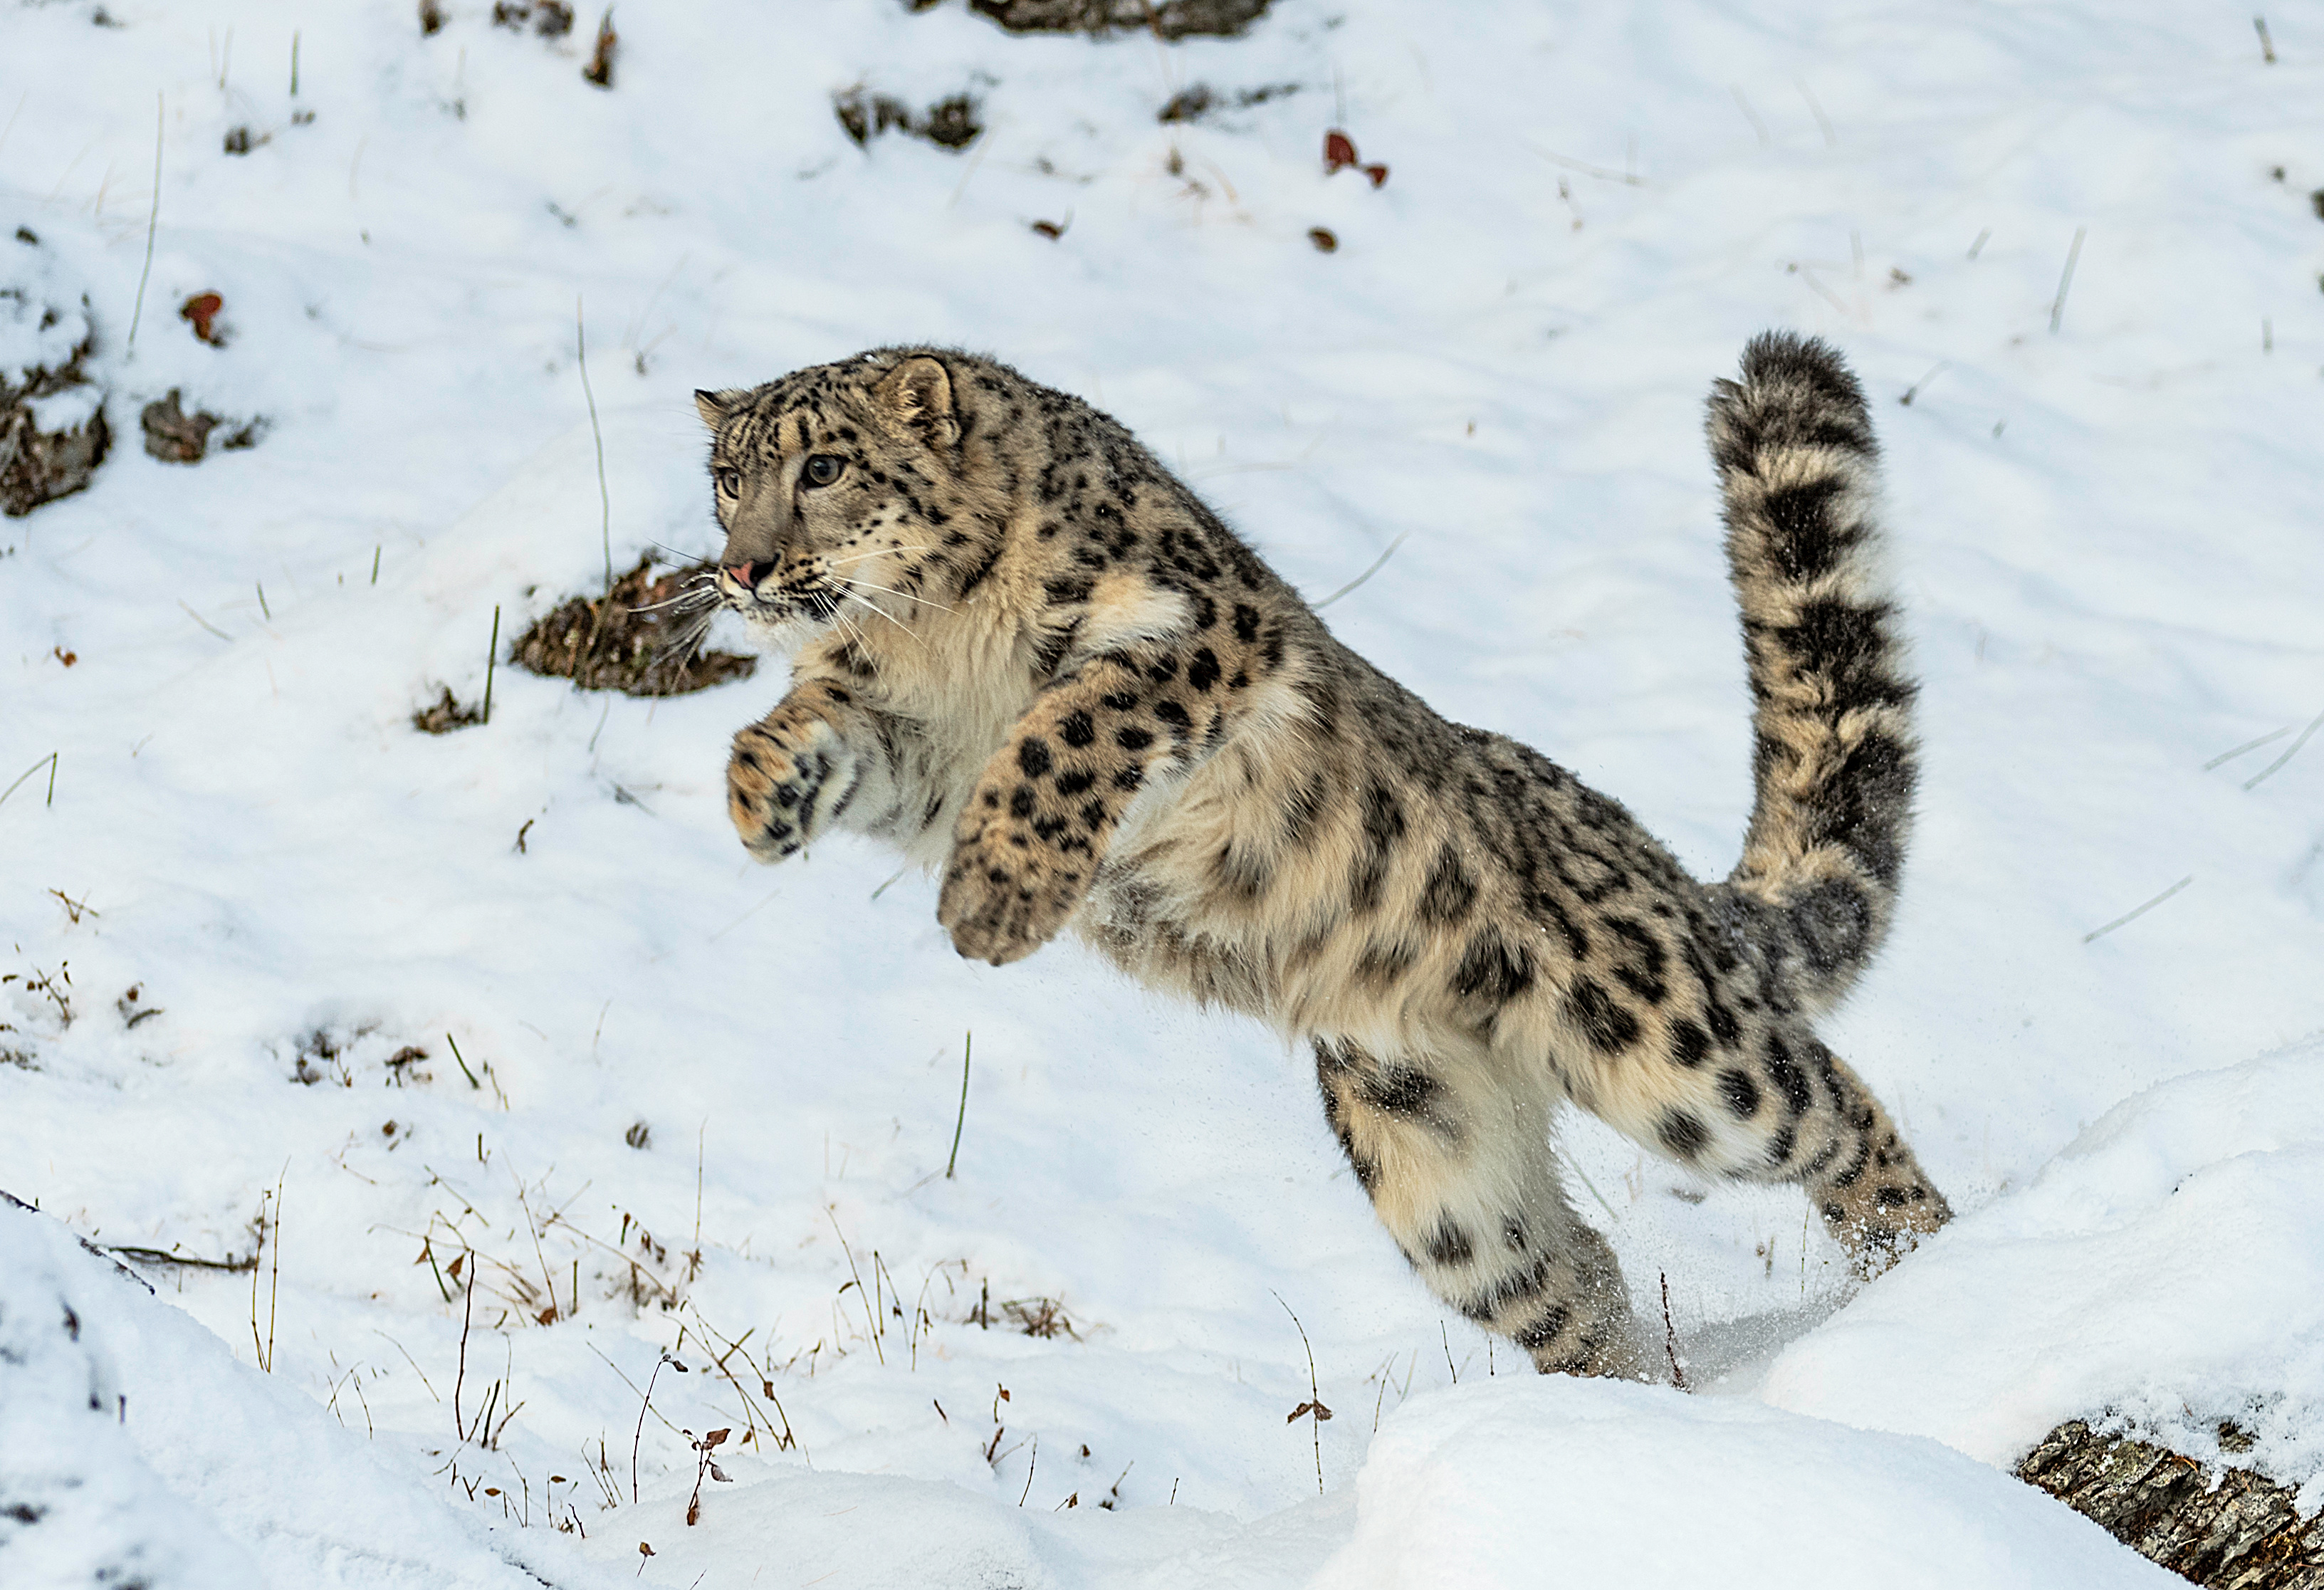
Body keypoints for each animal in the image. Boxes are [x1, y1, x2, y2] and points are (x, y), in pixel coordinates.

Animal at [683, 335, 1942, 1376]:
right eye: (728, 480)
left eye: (824, 468)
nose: (744, 569)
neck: (932, 639)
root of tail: (1655, 863)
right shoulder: (907, 737)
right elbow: (811, 724)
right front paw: (762, 795)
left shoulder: (1195, 634)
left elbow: (1066, 731)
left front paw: (993, 902)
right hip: (1444, 1181)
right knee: (1573, 1280)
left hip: (1675, 1045)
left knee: (1833, 1111)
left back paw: (1923, 1281)